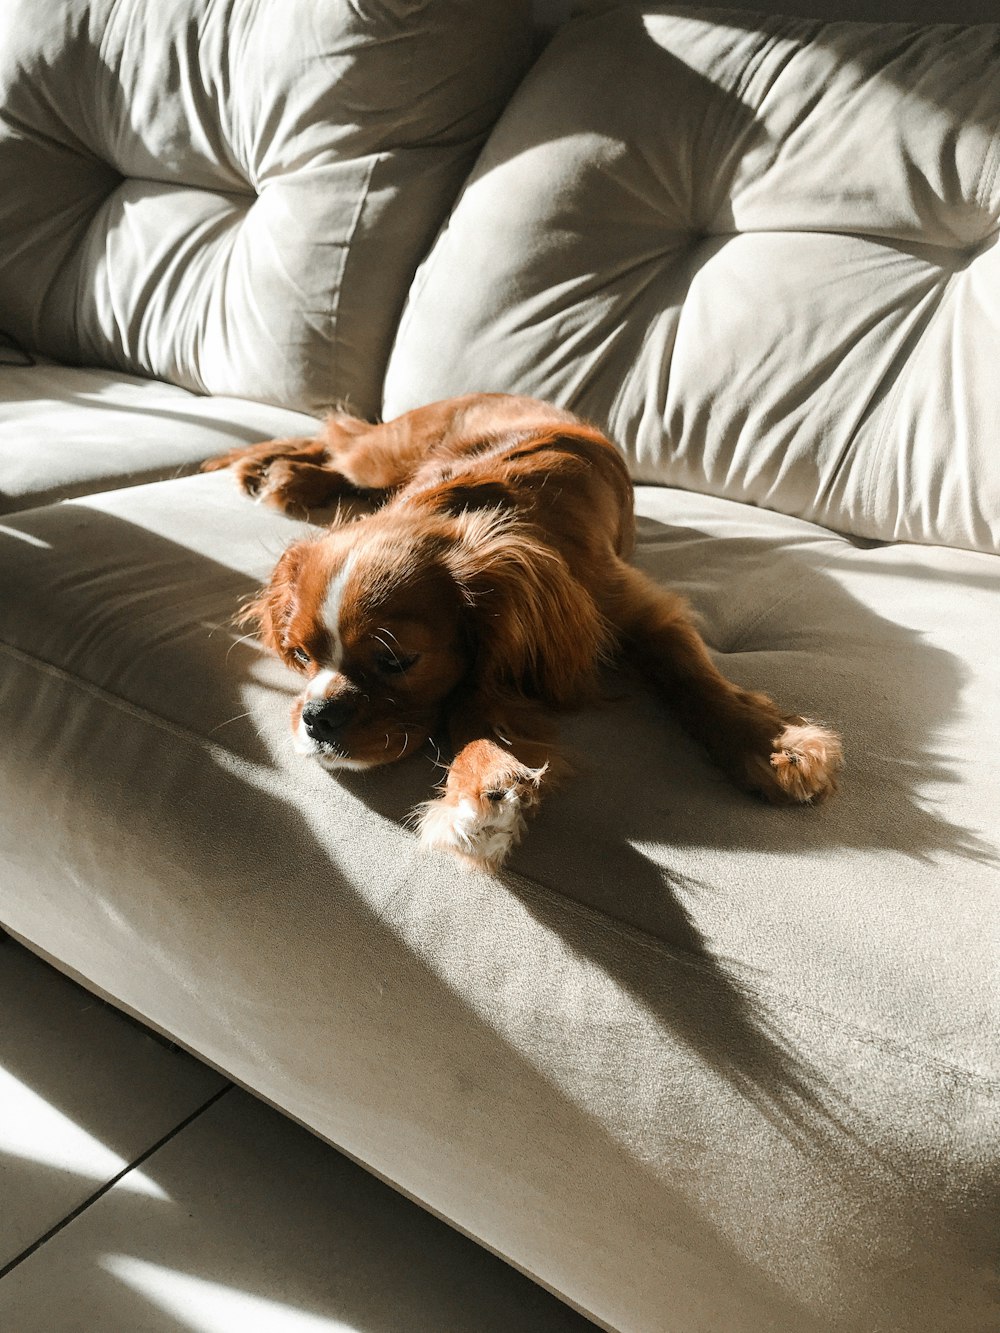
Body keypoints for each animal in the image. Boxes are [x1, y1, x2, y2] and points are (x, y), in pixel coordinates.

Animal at [205, 389, 848, 869]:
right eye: (300, 655)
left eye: (397, 661)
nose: (316, 717)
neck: (468, 508)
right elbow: (472, 703)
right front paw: (482, 777)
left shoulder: (640, 611)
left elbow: (695, 677)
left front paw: (773, 744)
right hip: (387, 453)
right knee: (338, 445)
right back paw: (275, 470)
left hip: (385, 457)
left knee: (342, 453)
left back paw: (279, 473)